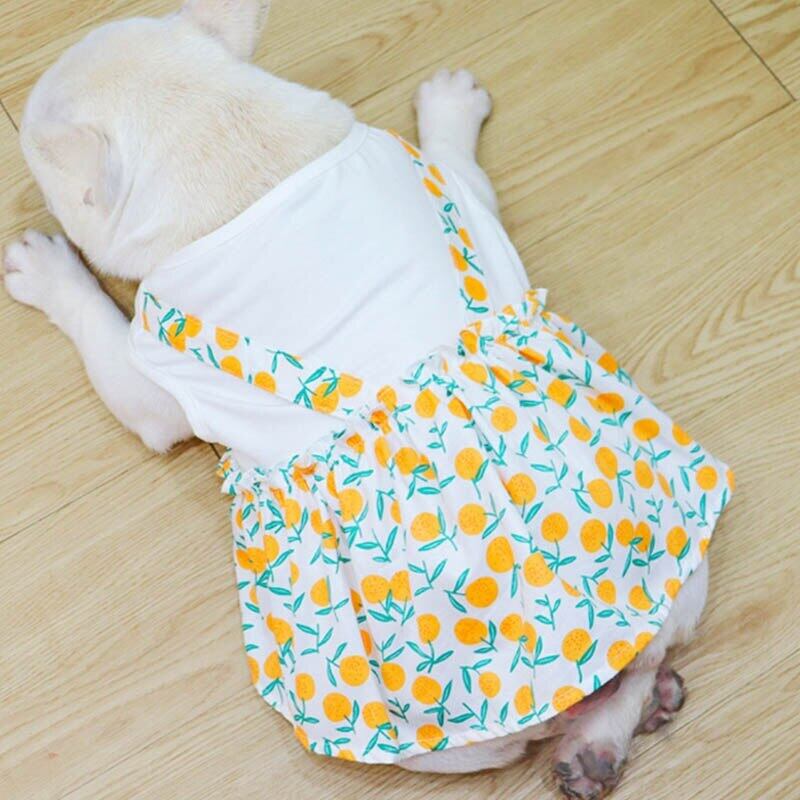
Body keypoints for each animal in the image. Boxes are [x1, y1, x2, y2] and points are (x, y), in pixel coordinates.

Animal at [3, 2, 711, 796]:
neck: (231, 145)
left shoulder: (151, 377)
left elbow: (104, 338)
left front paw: (51, 273)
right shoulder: (462, 192)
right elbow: (464, 168)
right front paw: (451, 110)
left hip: (426, 741)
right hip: (686, 577)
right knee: (647, 662)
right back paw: (611, 737)